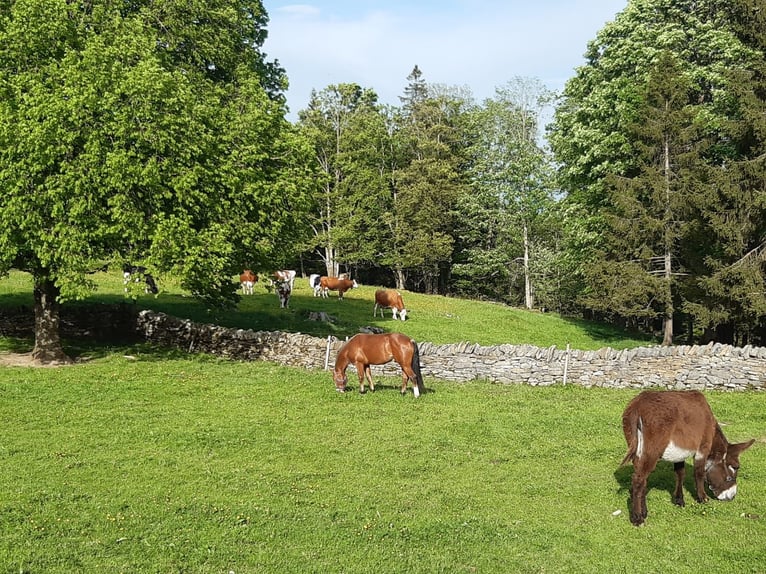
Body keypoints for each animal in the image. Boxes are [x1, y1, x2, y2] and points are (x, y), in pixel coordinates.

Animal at [620, 392, 760, 528]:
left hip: (636, 448)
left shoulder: (679, 453)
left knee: (641, 479)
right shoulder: (702, 448)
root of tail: (637, 406)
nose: (732, 496)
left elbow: (680, 473)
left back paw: (643, 512)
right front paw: (703, 498)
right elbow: (699, 473)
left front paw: (679, 500)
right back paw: (638, 519)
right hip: (652, 449)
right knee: (638, 479)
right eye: (736, 467)